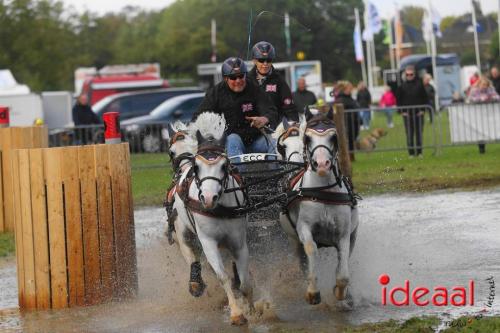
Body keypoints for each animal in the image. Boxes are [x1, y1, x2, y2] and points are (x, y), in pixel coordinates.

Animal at [171, 113, 252, 326]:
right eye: (197, 167)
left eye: (224, 166)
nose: (208, 198)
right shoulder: (208, 242)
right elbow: (223, 277)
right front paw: (237, 312)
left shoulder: (239, 243)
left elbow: (245, 282)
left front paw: (252, 308)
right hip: (183, 231)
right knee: (191, 256)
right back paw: (195, 283)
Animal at [276, 108, 358, 306]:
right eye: (308, 138)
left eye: (334, 137)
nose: (321, 165)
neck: (323, 190)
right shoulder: (304, 229)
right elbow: (311, 248)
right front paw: (312, 291)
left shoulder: (344, 234)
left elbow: (343, 272)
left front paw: (341, 292)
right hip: (293, 241)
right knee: (303, 260)